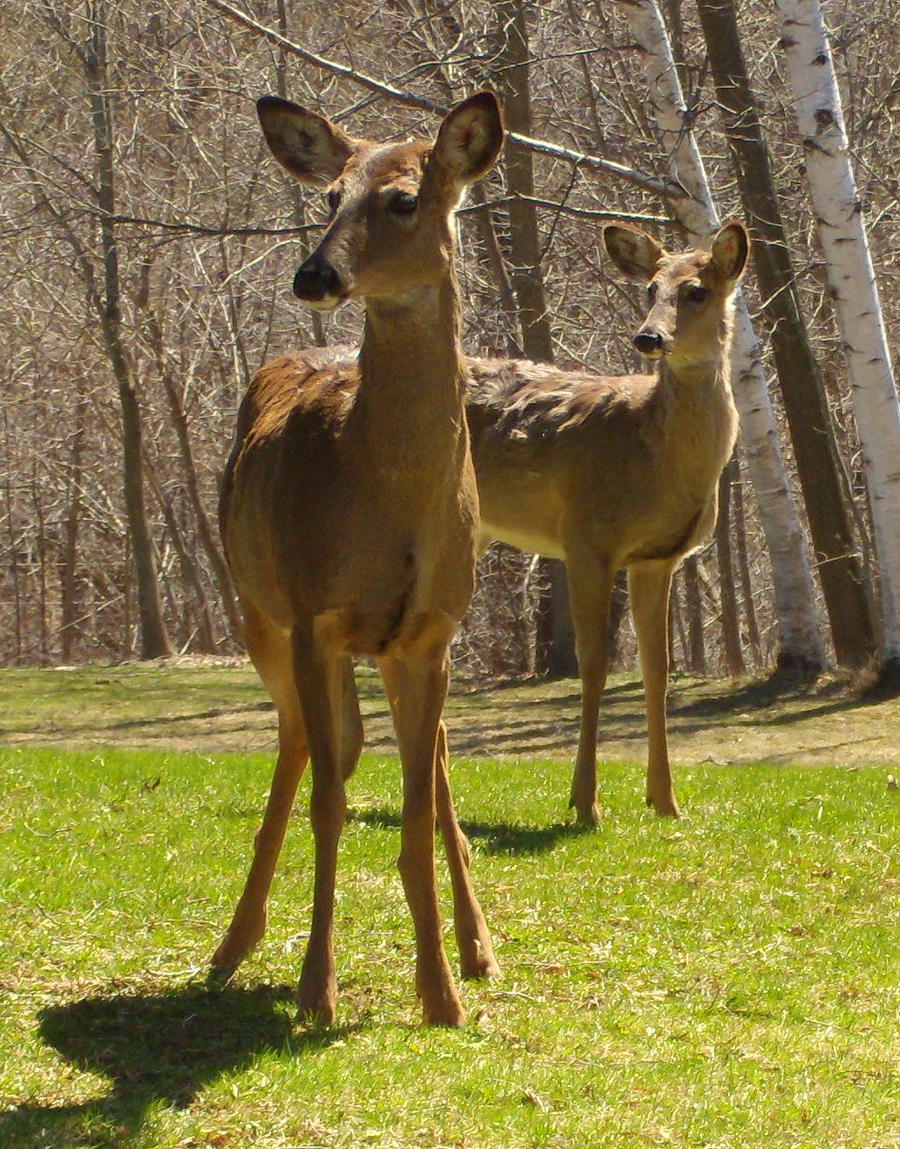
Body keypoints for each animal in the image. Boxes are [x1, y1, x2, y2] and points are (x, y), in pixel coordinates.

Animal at [212, 87, 505, 1024]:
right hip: (260, 613)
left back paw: (479, 946)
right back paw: (232, 945)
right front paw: (317, 988)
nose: (315, 276)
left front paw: (442, 991)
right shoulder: (316, 616)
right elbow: (332, 803)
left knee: (426, 760)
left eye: (405, 198)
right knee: (305, 745)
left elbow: (413, 808)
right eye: (331, 196)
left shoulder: (431, 631)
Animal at [468, 217, 749, 827]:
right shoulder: (586, 539)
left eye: (697, 291)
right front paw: (584, 802)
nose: (649, 338)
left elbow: (656, 670)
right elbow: (593, 666)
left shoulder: (658, 557)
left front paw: (666, 800)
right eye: (650, 289)